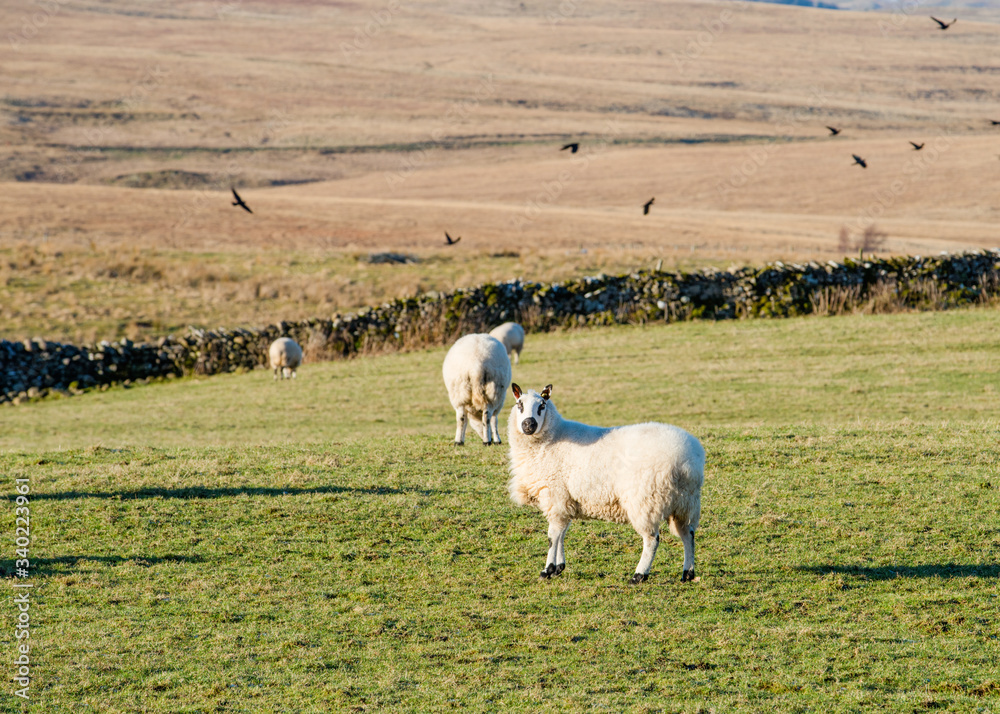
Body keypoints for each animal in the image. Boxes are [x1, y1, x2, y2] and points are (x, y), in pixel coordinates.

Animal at [507, 383, 705, 584]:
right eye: (519, 404)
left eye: (542, 405)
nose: (529, 425)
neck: (551, 439)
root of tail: (687, 460)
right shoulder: (566, 500)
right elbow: (562, 532)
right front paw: (558, 567)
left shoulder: (555, 495)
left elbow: (552, 536)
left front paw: (547, 570)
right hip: (686, 503)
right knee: (688, 534)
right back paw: (688, 573)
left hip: (646, 500)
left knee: (652, 540)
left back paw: (639, 575)